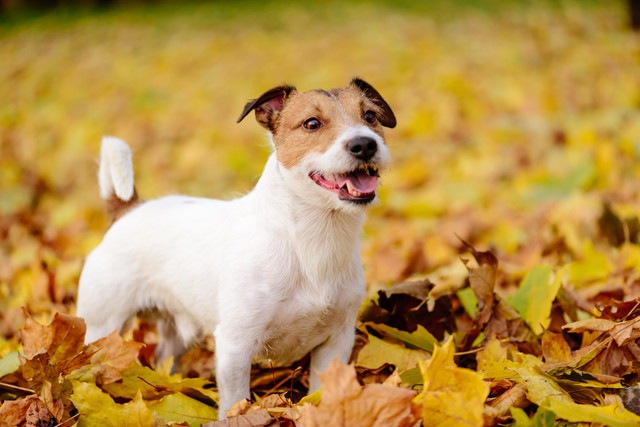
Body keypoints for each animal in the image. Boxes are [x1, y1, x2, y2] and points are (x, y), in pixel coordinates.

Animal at [75, 78, 396, 416]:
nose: (365, 144)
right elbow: (235, 401)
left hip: (179, 332)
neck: (312, 241)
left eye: (370, 116)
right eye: (312, 123)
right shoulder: (235, 345)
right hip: (102, 326)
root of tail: (129, 209)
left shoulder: (336, 342)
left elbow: (322, 391)